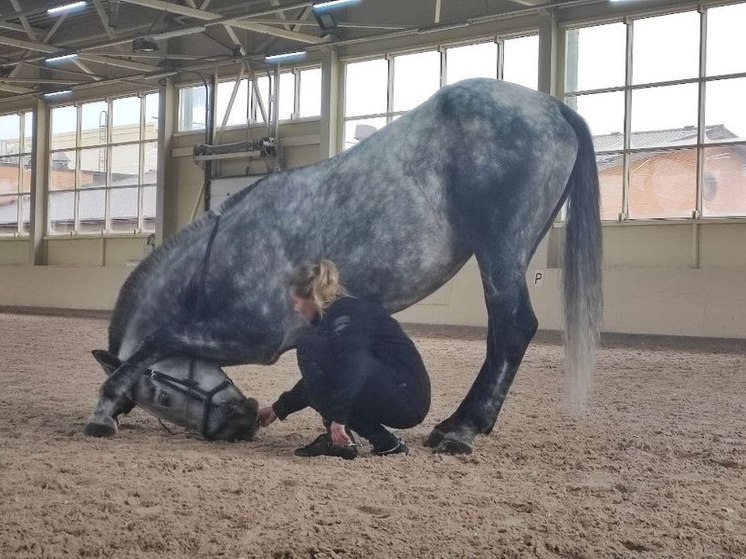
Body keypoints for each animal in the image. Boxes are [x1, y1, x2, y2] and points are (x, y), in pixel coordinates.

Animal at [84, 79, 600, 456]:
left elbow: (158, 340)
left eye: (163, 397)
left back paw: (462, 430)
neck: (222, 250)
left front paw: (104, 409)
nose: (241, 420)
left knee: (513, 327)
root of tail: (552, 108)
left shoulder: (257, 335)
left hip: (500, 247)